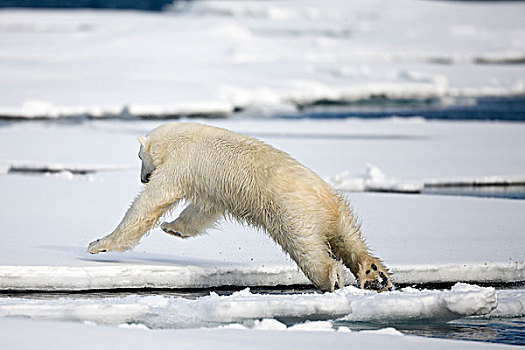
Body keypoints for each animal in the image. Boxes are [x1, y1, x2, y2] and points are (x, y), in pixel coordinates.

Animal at [87, 123, 388, 292]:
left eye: (140, 157)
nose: (143, 178)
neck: (179, 139)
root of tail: (323, 200)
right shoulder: (211, 185)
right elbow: (202, 210)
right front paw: (172, 228)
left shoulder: (183, 162)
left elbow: (153, 200)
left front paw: (99, 244)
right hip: (338, 209)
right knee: (349, 239)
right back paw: (375, 275)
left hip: (292, 213)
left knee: (307, 249)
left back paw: (332, 279)